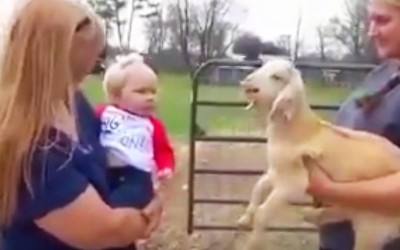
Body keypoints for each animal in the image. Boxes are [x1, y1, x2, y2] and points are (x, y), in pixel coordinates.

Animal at [236, 59, 400, 250]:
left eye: (277, 77)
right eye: (262, 66)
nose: (247, 81)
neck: (299, 131)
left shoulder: (293, 182)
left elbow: (262, 213)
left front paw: (251, 243)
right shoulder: (276, 172)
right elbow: (258, 187)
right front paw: (244, 218)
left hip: (373, 227)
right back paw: (312, 215)